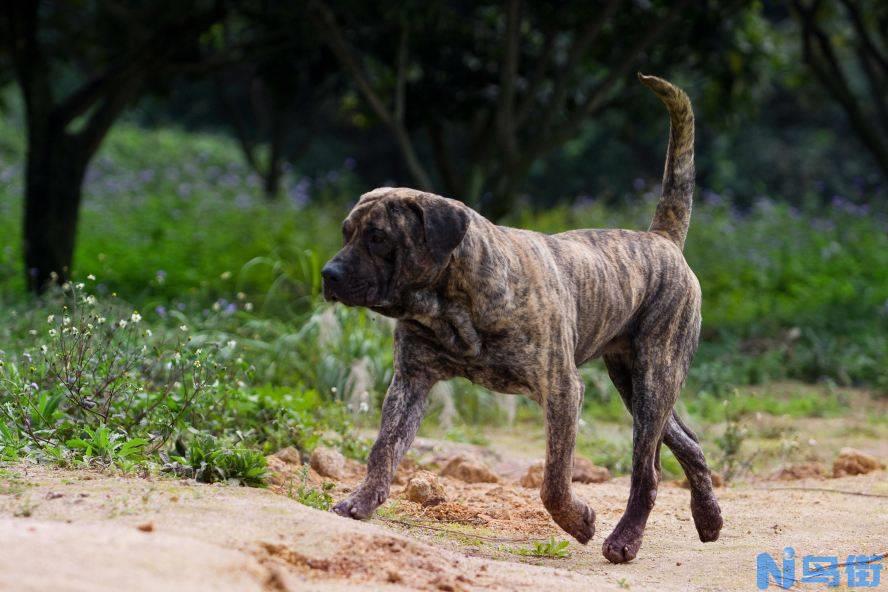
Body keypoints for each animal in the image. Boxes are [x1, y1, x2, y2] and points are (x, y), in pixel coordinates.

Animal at [320, 74, 720, 564]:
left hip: (654, 378)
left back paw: (625, 539)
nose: (329, 274)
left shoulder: (562, 389)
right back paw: (708, 517)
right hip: (635, 383)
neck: (451, 305)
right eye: (346, 233)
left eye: (377, 237)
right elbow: (383, 448)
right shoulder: (410, 381)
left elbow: (554, 481)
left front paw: (578, 521)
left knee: (648, 469)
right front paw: (361, 501)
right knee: (688, 442)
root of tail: (661, 239)